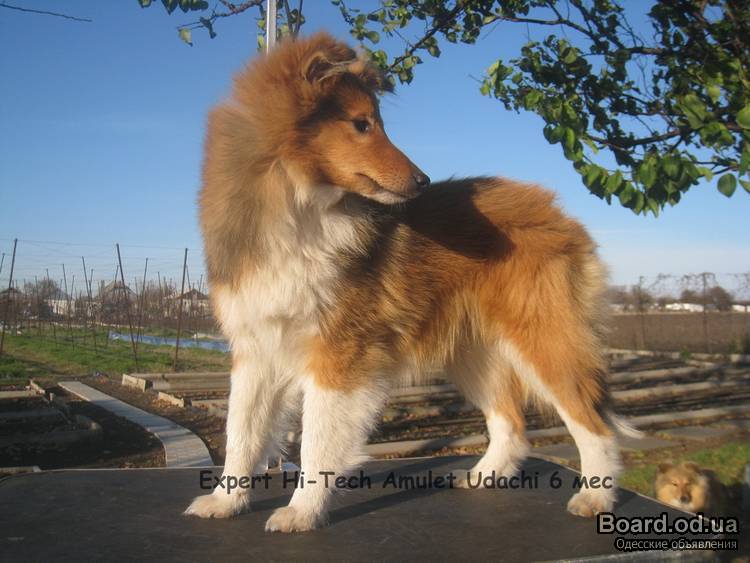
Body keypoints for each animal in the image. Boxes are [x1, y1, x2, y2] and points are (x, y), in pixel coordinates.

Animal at [184, 32, 624, 532]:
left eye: (375, 122)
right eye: (360, 124)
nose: (423, 180)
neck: (298, 207)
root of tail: (559, 212)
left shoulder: (340, 353)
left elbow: (315, 440)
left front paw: (301, 511)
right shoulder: (255, 348)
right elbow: (241, 433)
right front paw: (225, 501)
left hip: (542, 336)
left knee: (593, 423)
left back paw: (596, 497)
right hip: (475, 352)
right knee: (511, 423)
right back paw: (483, 477)